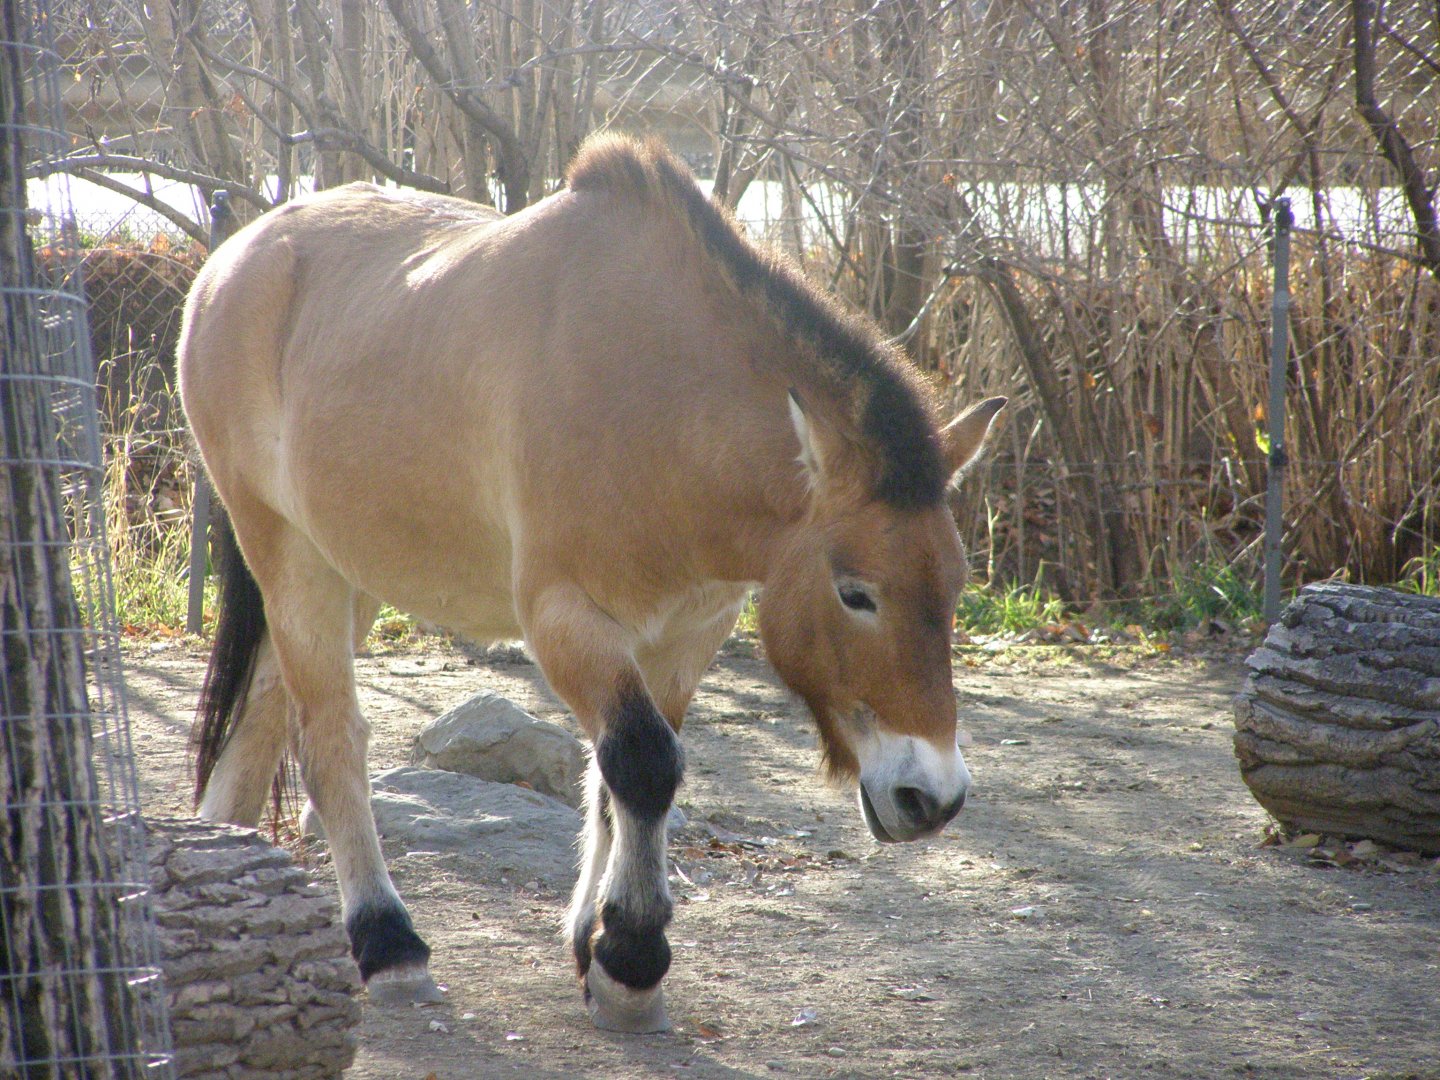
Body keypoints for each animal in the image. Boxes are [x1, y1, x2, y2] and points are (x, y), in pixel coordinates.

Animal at [178, 133, 1005, 1032]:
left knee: (268, 714)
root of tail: (231, 261)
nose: (933, 797)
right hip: (285, 549)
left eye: (953, 588)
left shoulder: (684, 633)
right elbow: (642, 762)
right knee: (330, 738)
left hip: (344, 570)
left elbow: (623, 776)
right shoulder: (565, 617)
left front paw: (594, 939)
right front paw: (630, 960)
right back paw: (387, 945)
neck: (661, 400)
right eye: (856, 593)